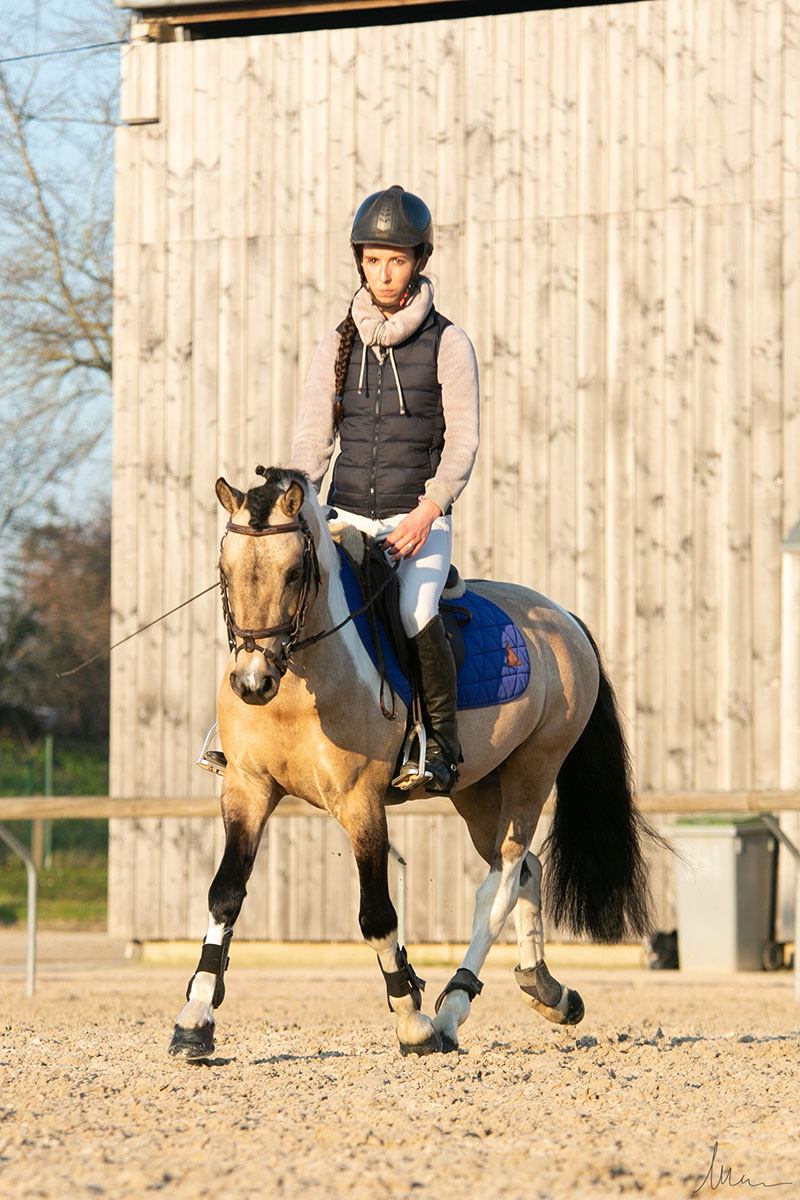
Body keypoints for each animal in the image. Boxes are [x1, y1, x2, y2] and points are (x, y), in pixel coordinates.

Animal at [169, 468, 657, 1060]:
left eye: (293, 573)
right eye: (225, 571)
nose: (252, 682)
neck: (300, 683)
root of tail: (565, 621)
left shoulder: (361, 802)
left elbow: (377, 915)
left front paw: (412, 1021)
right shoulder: (247, 790)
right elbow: (225, 895)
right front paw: (195, 1019)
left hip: (533, 770)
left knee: (499, 884)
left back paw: (450, 1012)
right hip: (477, 790)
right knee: (524, 870)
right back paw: (546, 990)